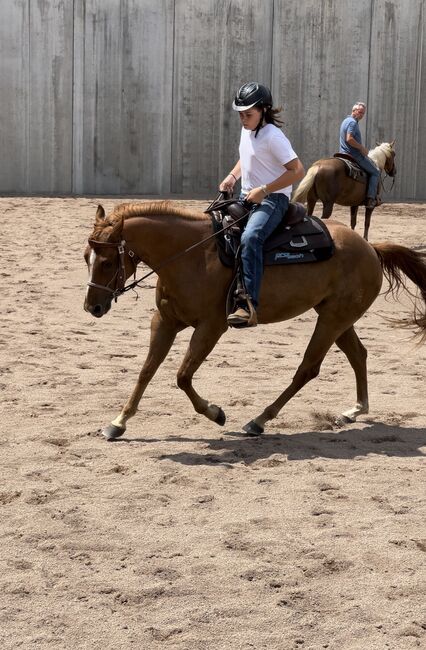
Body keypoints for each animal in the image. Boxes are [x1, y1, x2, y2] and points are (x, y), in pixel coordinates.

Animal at [84, 200, 426, 438]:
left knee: (308, 368)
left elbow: (182, 376)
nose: (92, 307)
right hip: (336, 317)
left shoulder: (211, 327)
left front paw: (215, 413)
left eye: (108, 261)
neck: (190, 255)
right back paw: (355, 410)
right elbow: (146, 371)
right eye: (87, 258)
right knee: (358, 354)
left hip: (332, 319)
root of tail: (370, 247)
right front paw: (118, 422)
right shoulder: (165, 321)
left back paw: (260, 420)